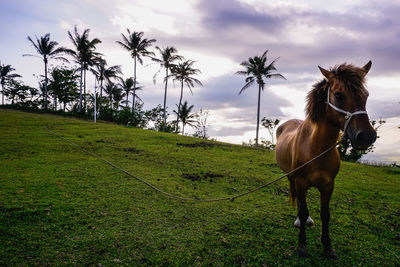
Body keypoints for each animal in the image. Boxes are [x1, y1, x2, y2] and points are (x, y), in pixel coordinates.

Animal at [276, 61, 376, 260]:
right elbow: (302, 209)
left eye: (366, 95)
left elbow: (325, 214)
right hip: (291, 177)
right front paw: (302, 246)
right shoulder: (301, 182)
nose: (366, 137)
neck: (316, 148)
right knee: (298, 199)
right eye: (338, 95)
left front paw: (328, 247)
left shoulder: (328, 185)